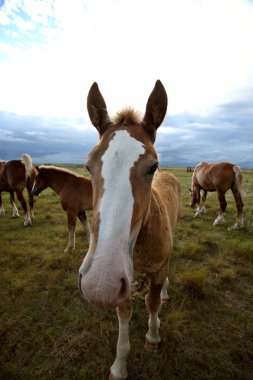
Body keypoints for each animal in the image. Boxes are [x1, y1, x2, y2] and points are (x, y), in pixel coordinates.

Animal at [78, 80, 181, 380]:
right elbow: (124, 312)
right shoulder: (123, 282)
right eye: (88, 165)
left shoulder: (157, 269)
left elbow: (153, 302)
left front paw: (153, 337)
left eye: (153, 166)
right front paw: (119, 365)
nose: (100, 284)